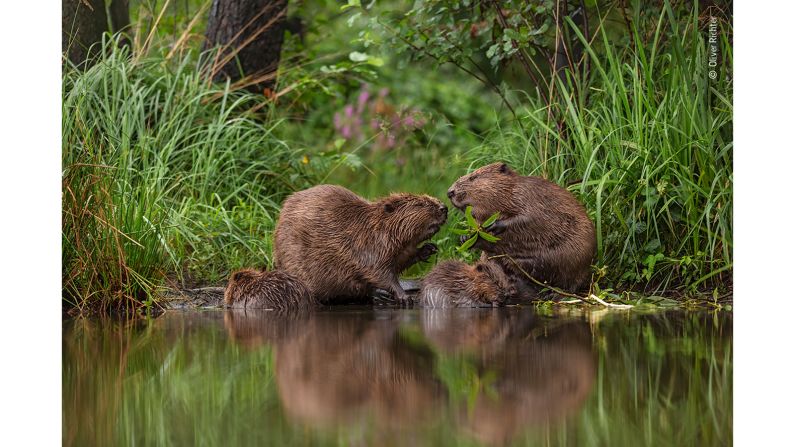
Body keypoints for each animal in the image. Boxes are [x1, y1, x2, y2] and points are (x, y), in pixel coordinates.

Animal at [274, 185, 448, 304]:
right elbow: (379, 273)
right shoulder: (367, 246)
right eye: (420, 204)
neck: (373, 227)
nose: (444, 207)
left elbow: (402, 261)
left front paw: (429, 249)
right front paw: (404, 297)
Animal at [448, 163, 596, 296]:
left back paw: (552, 293)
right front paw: (465, 237)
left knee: (569, 283)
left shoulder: (528, 195)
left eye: (473, 177)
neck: (511, 190)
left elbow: (529, 217)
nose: (449, 192)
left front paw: (495, 225)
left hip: (574, 258)